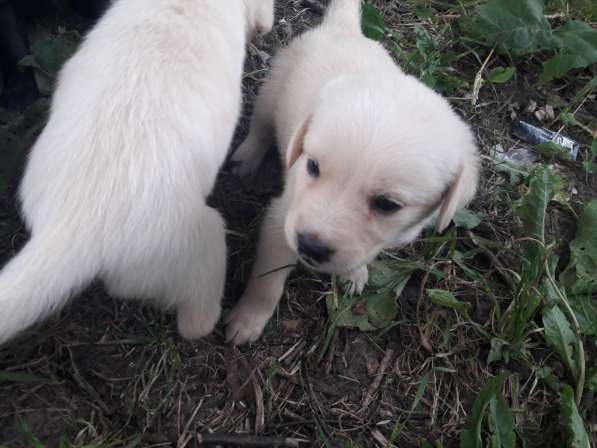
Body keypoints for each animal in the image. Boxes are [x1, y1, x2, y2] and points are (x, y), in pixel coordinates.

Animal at [226, 0, 478, 346]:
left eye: (387, 205)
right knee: (261, 126)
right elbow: (267, 282)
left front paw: (353, 272)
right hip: (273, 90)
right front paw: (247, 320)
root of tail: (343, 28)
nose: (310, 246)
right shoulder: (281, 221)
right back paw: (248, 156)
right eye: (313, 167)